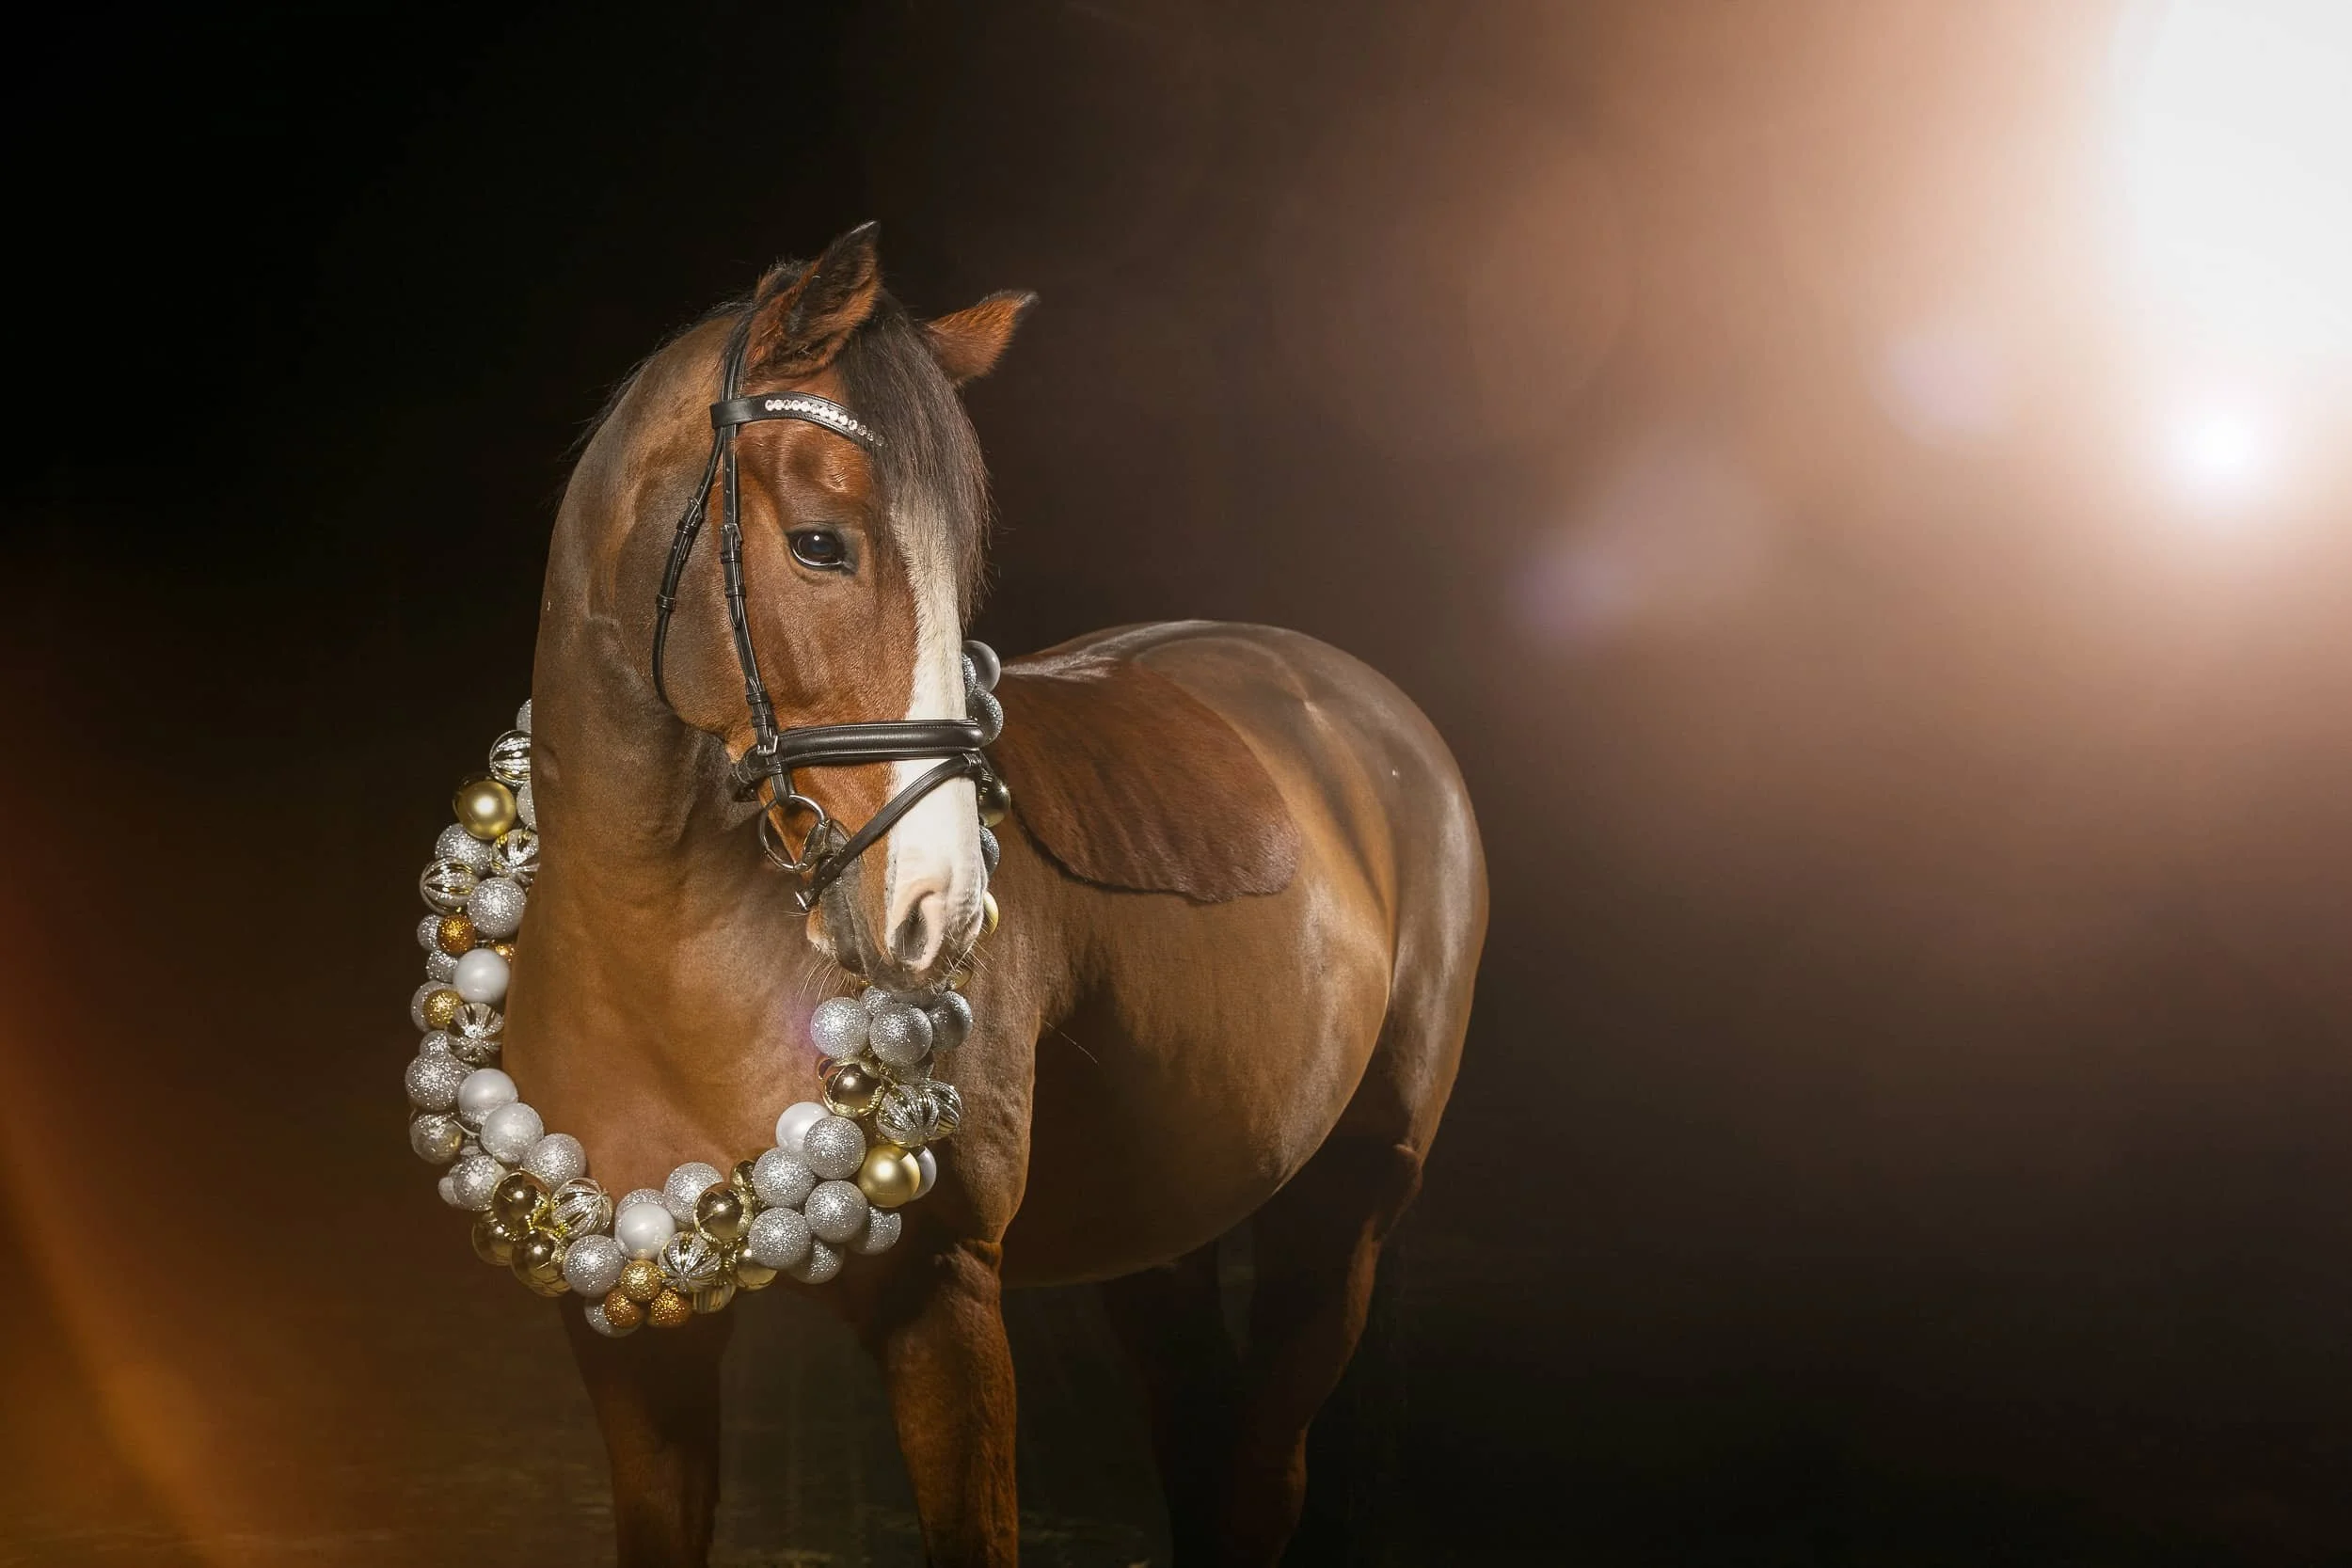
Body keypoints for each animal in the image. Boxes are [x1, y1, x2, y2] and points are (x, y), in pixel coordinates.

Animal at [508, 222, 1486, 1566]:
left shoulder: (947, 1300)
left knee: (1262, 1469)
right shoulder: (626, 1331)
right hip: (1163, 1231)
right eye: (821, 542)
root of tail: (1358, 703)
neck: (655, 955)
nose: (944, 912)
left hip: (1347, 1208)